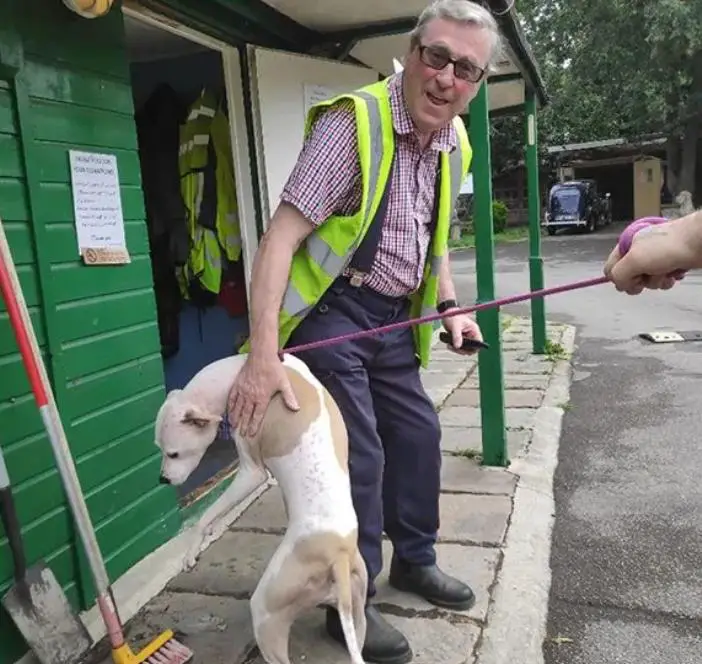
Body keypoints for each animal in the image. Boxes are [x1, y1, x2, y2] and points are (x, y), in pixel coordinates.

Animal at [155, 356, 368, 664]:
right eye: (159, 448)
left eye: (174, 453)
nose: (163, 480)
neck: (238, 370)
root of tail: (338, 555)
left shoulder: (250, 473)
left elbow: (205, 517)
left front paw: (191, 552)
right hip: (356, 611)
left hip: (267, 612)